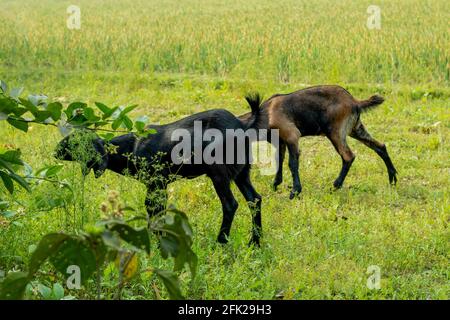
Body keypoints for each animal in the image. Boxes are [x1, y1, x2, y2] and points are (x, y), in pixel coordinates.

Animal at [55, 94, 264, 245]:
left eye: (75, 142)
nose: (55, 151)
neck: (132, 147)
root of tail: (242, 126)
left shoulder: (156, 182)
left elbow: (153, 208)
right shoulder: (159, 185)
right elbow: (157, 209)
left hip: (218, 173)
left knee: (230, 204)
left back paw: (220, 242)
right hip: (242, 172)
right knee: (254, 199)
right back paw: (255, 242)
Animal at [239, 84, 398, 198]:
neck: (267, 113)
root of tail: (355, 102)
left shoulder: (292, 136)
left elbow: (292, 163)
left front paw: (295, 191)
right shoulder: (281, 142)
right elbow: (279, 161)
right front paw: (275, 184)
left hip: (335, 132)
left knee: (348, 156)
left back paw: (335, 185)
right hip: (355, 129)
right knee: (380, 146)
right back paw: (393, 178)